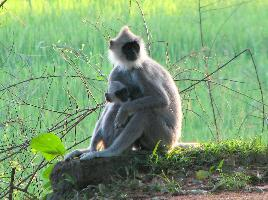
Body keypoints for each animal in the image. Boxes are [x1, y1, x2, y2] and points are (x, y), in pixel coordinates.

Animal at [64, 26, 182, 161]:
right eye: (127, 47)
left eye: (135, 46)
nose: (134, 52)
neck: (130, 67)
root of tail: (173, 143)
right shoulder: (116, 71)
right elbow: (109, 103)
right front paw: (89, 148)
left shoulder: (142, 71)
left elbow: (161, 99)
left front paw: (124, 111)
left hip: (164, 139)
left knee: (145, 113)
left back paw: (110, 152)